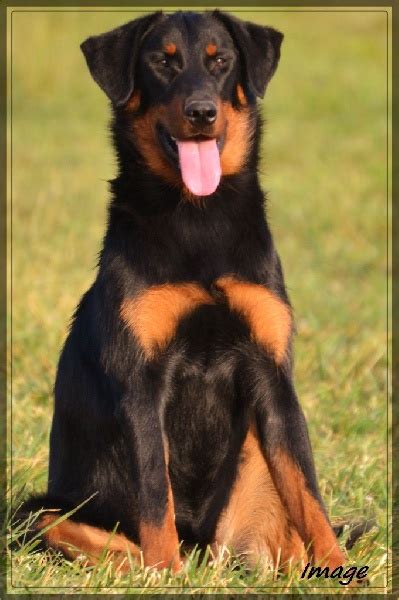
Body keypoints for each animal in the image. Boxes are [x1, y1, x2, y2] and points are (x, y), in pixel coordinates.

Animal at [18, 9, 346, 572]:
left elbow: (308, 492)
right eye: (162, 61)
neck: (198, 217)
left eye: (221, 61)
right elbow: (155, 497)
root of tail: (202, 545)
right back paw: (159, 568)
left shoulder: (272, 374)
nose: (201, 112)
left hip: (252, 470)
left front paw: (341, 567)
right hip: (42, 512)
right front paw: (166, 574)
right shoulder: (141, 383)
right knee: (108, 541)